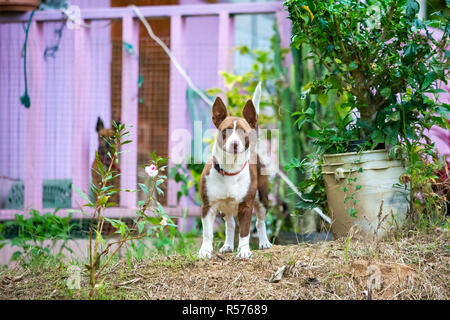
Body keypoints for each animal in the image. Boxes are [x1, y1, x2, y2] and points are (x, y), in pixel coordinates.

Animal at [200, 86, 270, 258]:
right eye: (226, 130)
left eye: (243, 132)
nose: (235, 144)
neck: (230, 170)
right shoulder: (208, 206)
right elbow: (207, 233)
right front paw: (205, 251)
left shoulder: (245, 206)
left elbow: (244, 232)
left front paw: (244, 250)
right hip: (225, 208)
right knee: (230, 225)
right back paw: (228, 245)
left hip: (262, 199)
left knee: (260, 221)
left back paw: (264, 242)